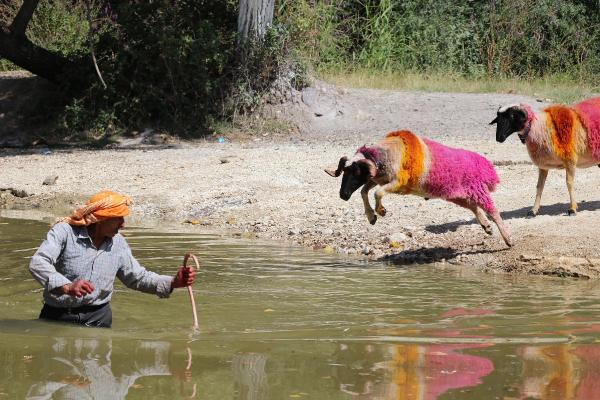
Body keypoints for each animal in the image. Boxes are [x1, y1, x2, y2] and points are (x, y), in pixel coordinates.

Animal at [326, 130, 512, 247]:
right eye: (344, 172)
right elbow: (364, 191)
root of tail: (485, 165)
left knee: (493, 211)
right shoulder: (379, 179)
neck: (385, 155)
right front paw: (371, 216)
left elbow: (377, 193)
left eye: (357, 172)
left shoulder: (397, 182)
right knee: (473, 206)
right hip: (455, 194)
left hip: (477, 189)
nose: (343, 195)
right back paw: (486, 226)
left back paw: (507, 239)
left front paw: (381, 211)